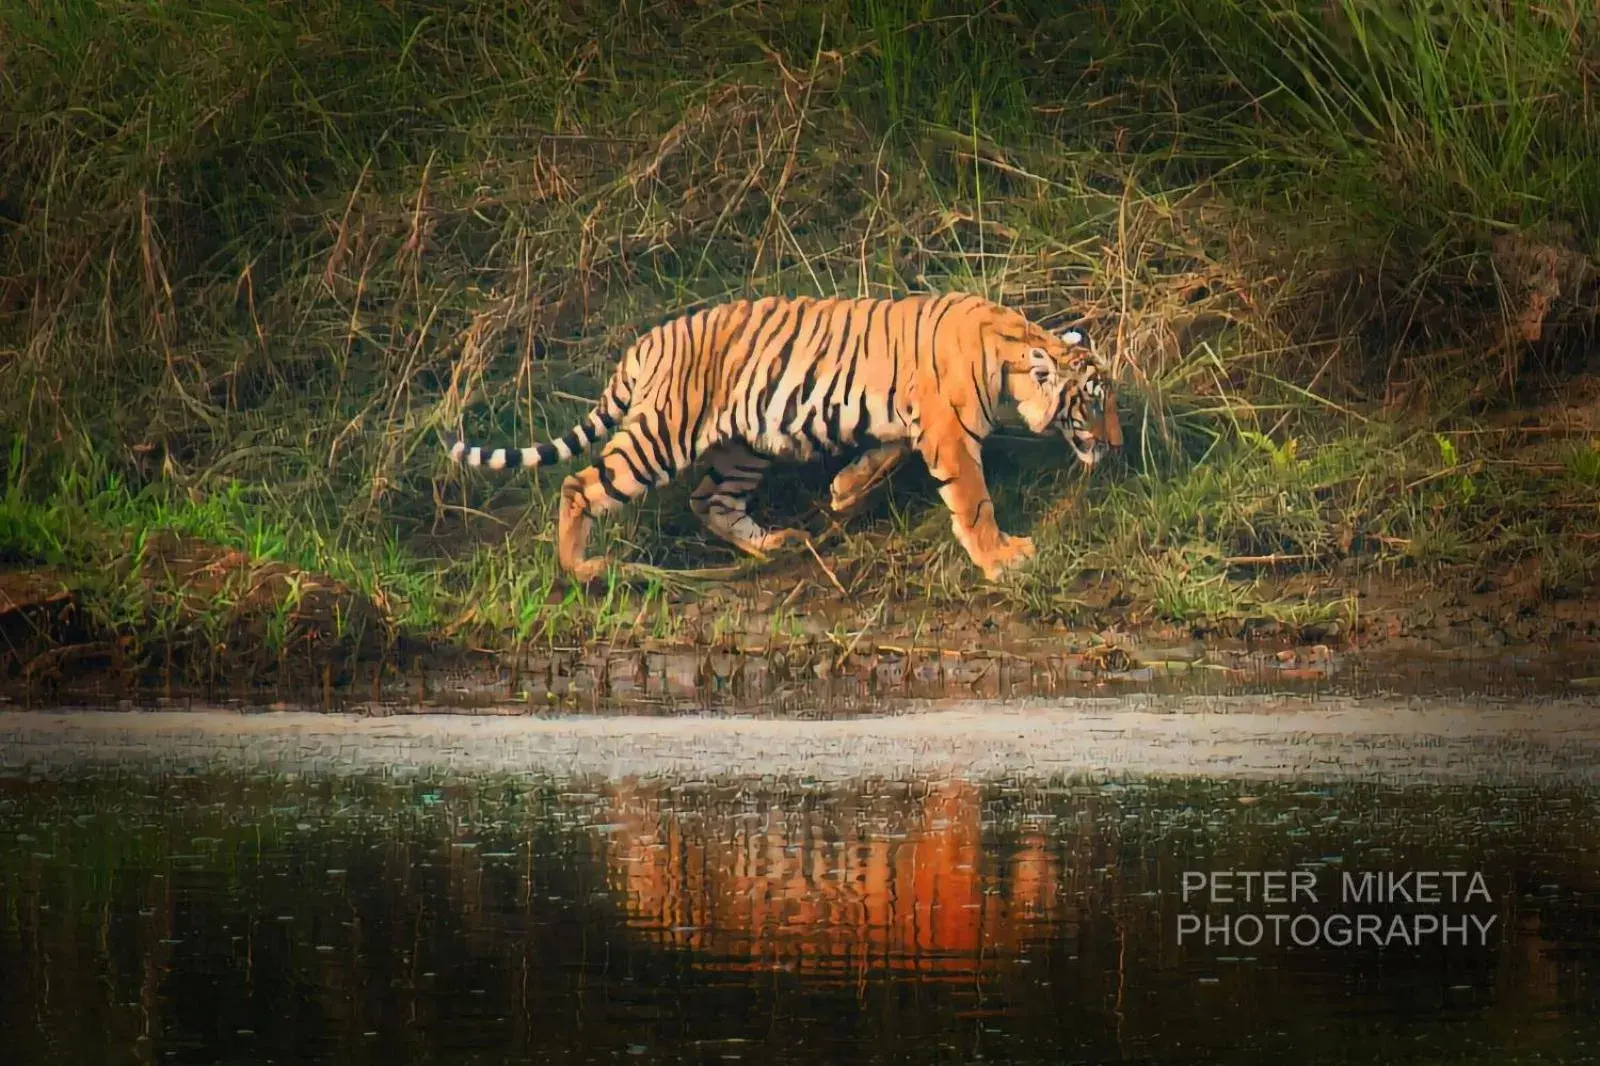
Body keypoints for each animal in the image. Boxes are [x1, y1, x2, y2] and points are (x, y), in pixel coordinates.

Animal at [447, 292, 1122, 583]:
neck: (1013, 350)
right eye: (1093, 402)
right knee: (579, 484)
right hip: (660, 437)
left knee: (710, 502)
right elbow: (973, 501)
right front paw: (1002, 557)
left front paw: (846, 490)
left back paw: (776, 543)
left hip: (739, 447)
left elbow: (883, 454)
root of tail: (645, 342)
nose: (1116, 444)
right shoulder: (949, 434)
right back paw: (580, 567)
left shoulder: (915, 422)